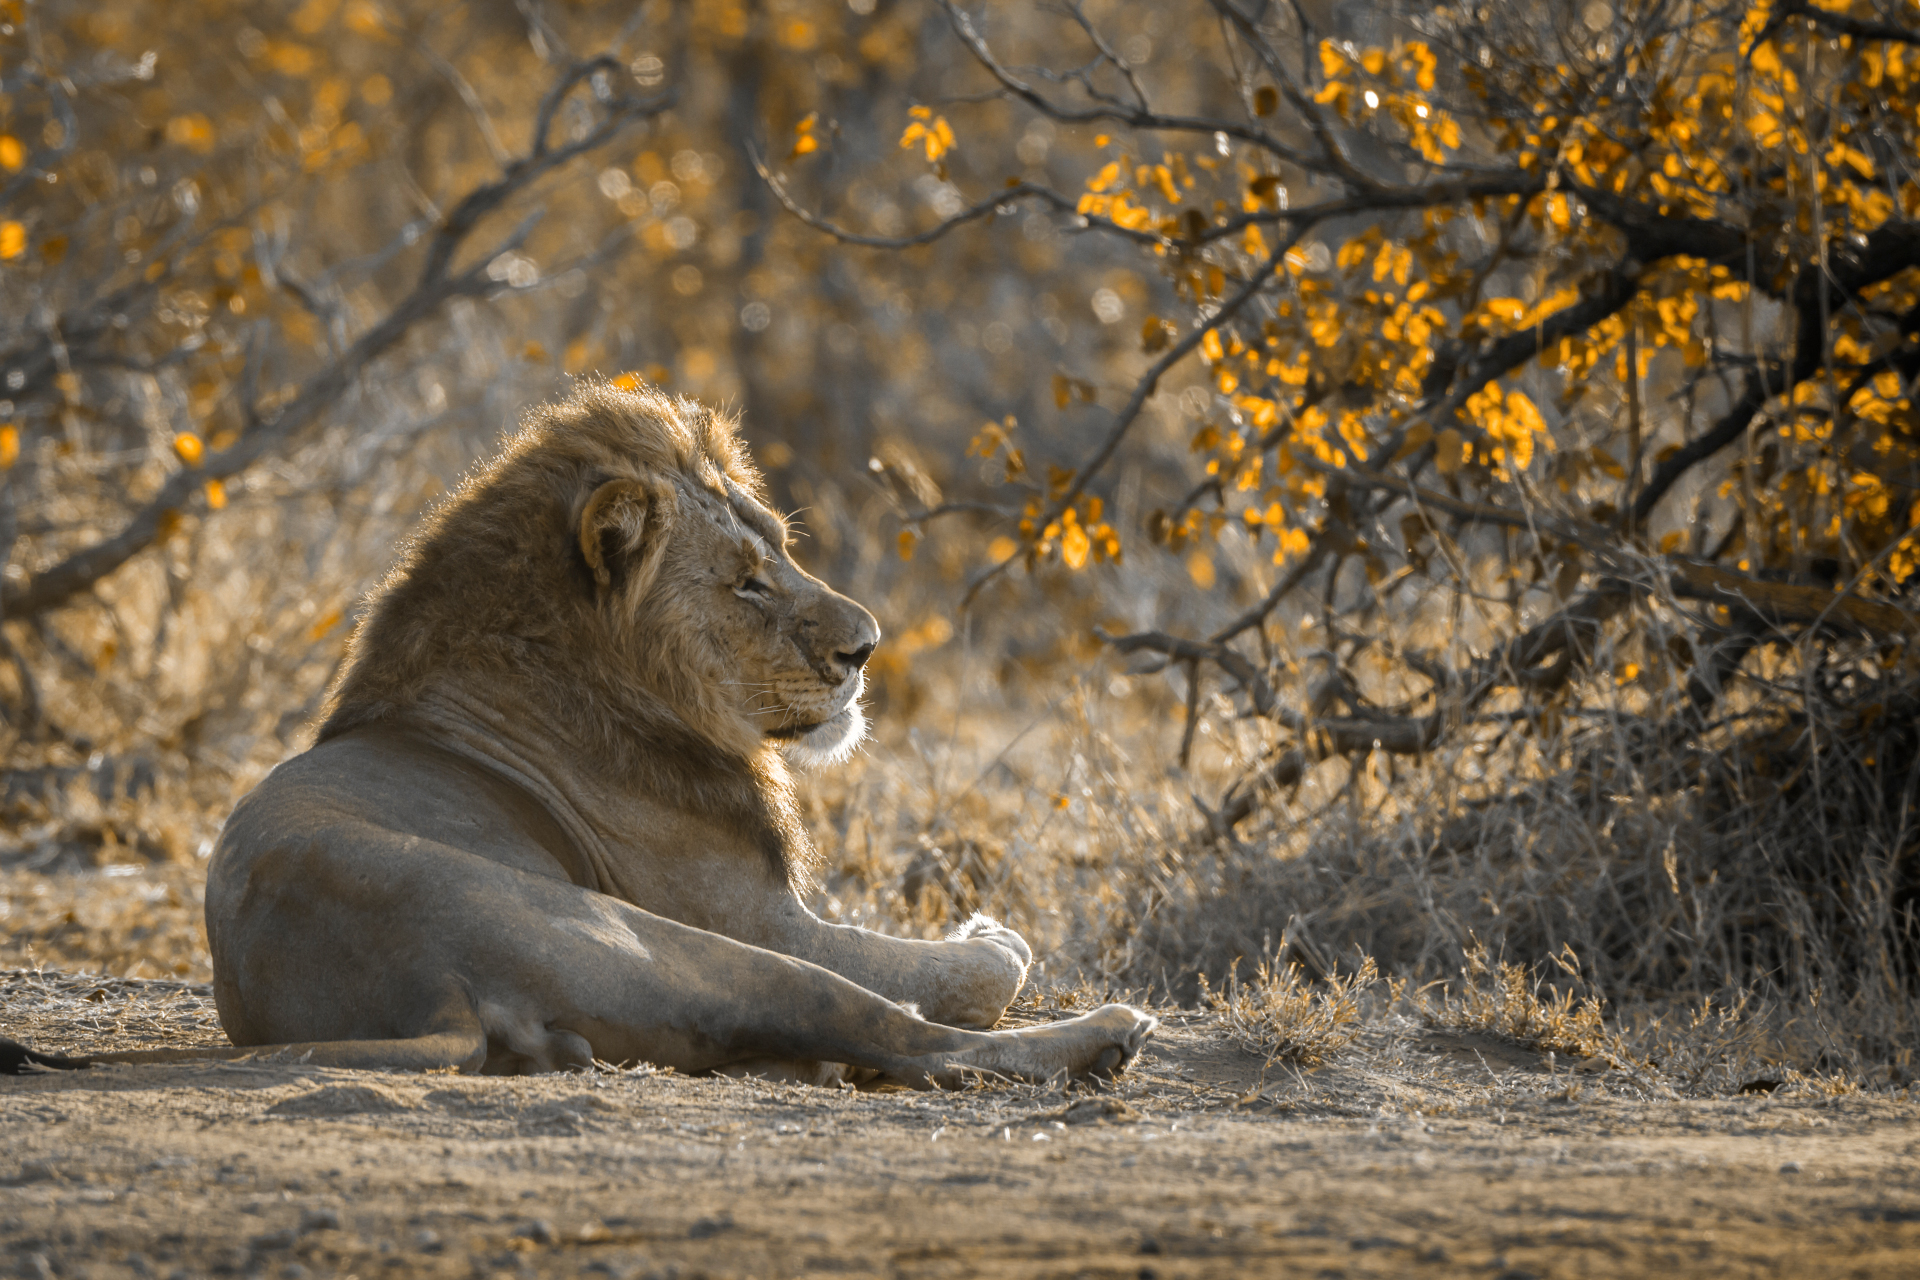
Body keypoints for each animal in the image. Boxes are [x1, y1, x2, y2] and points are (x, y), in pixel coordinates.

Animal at [1, 381, 1155, 1085]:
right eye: (747, 581)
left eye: (782, 548)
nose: (866, 647)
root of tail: (425, 985)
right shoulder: (760, 916)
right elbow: (982, 972)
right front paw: (989, 932)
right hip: (663, 941)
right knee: (900, 1033)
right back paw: (1106, 1038)